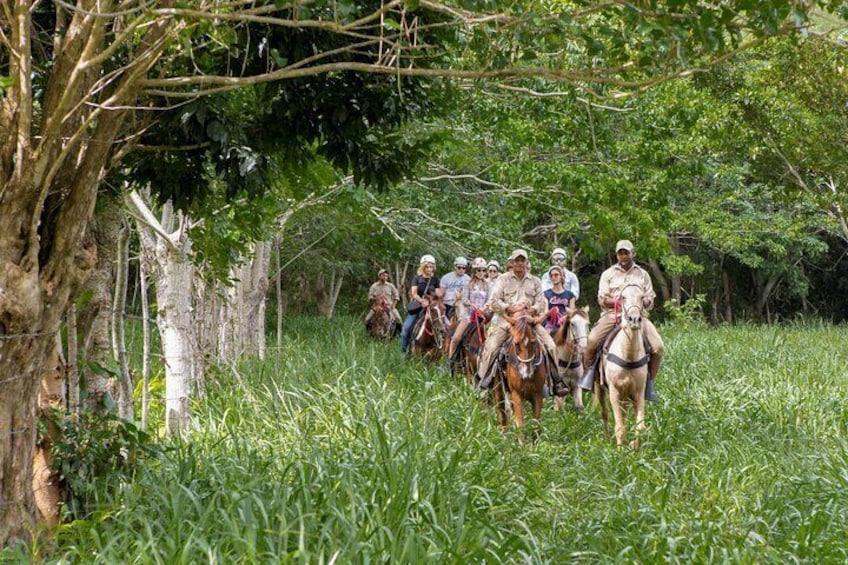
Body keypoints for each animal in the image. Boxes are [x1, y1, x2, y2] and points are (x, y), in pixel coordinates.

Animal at [490, 312, 548, 440]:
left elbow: (536, 424)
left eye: (533, 342)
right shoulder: (516, 394)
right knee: (502, 413)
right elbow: (520, 424)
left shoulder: (538, 394)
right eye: (516, 344)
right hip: (498, 388)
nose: (526, 372)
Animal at [596, 284, 648, 448]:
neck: (628, 356)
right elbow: (619, 426)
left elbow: (640, 426)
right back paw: (608, 439)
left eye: (642, 297)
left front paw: (635, 446)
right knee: (605, 413)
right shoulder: (614, 392)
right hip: (600, 389)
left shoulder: (638, 392)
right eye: (623, 297)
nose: (634, 319)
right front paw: (619, 451)